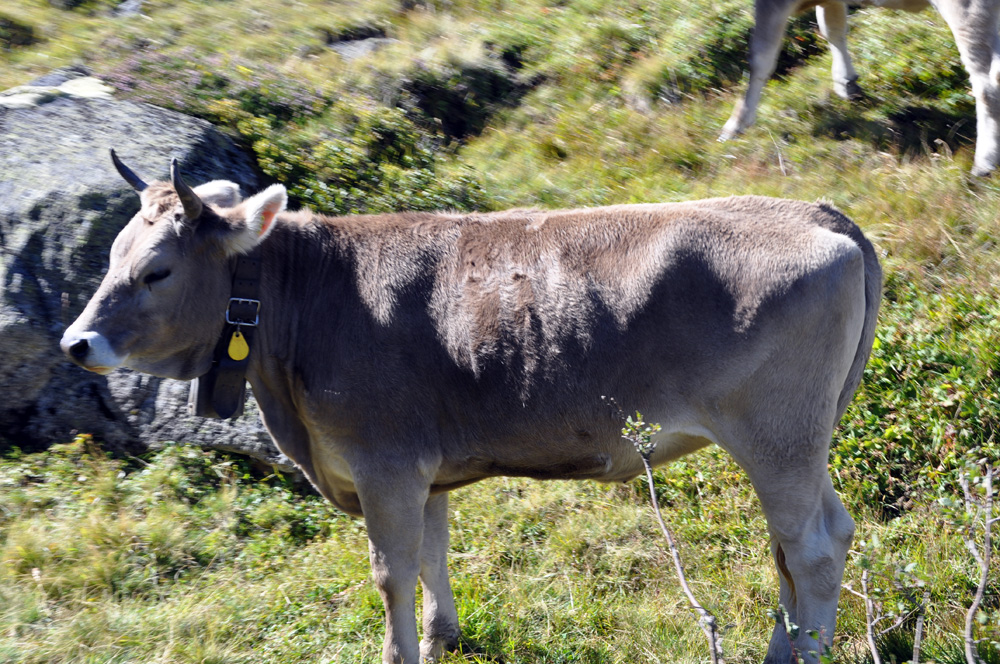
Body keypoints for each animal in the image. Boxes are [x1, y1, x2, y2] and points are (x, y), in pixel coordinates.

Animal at [60, 152, 884, 664]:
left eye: (156, 271)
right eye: (111, 256)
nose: (76, 342)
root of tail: (817, 212)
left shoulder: (383, 463)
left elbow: (391, 571)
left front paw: (398, 652)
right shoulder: (420, 468)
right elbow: (433, 554)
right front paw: (442, 638)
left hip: (777, 435)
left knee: (809, 549)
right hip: (803, 440)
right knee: (817, 538)